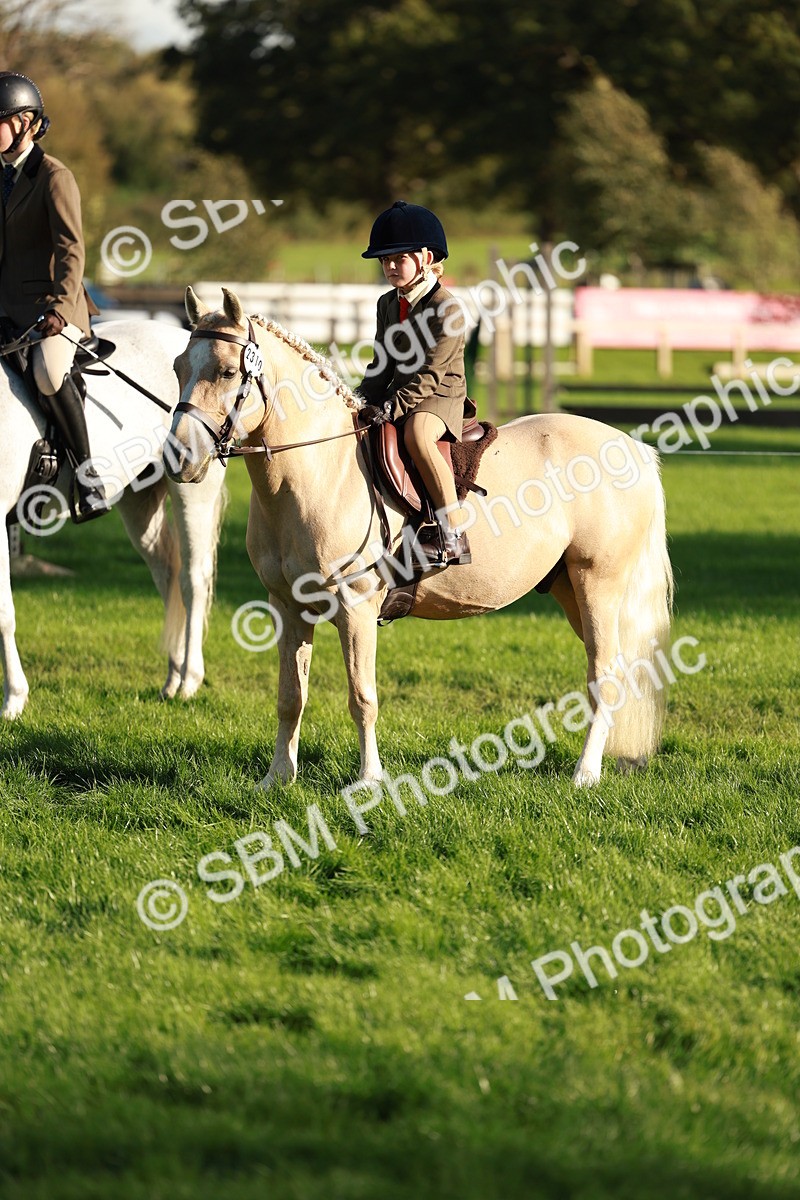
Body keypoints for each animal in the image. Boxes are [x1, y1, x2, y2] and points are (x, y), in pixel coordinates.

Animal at [0, 318, 226, 718]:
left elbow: (3, 613)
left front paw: (13, 699)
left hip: (193, 491)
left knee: (192, 580)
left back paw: (189, 680)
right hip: (139, 503)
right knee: (166, 574)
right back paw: (172, 678)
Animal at [167, 286, 673, 788]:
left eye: (227, 371)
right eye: (177, 368)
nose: (179, 458)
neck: (319, 471)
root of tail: (632, 446)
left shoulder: (356, 608)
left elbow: (362, 698)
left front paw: (369, 781)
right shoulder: (289, 607)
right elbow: (290, 696)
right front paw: (277, 779)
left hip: (598, 585)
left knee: (604, 675)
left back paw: (585, 773)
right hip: (571, 589)